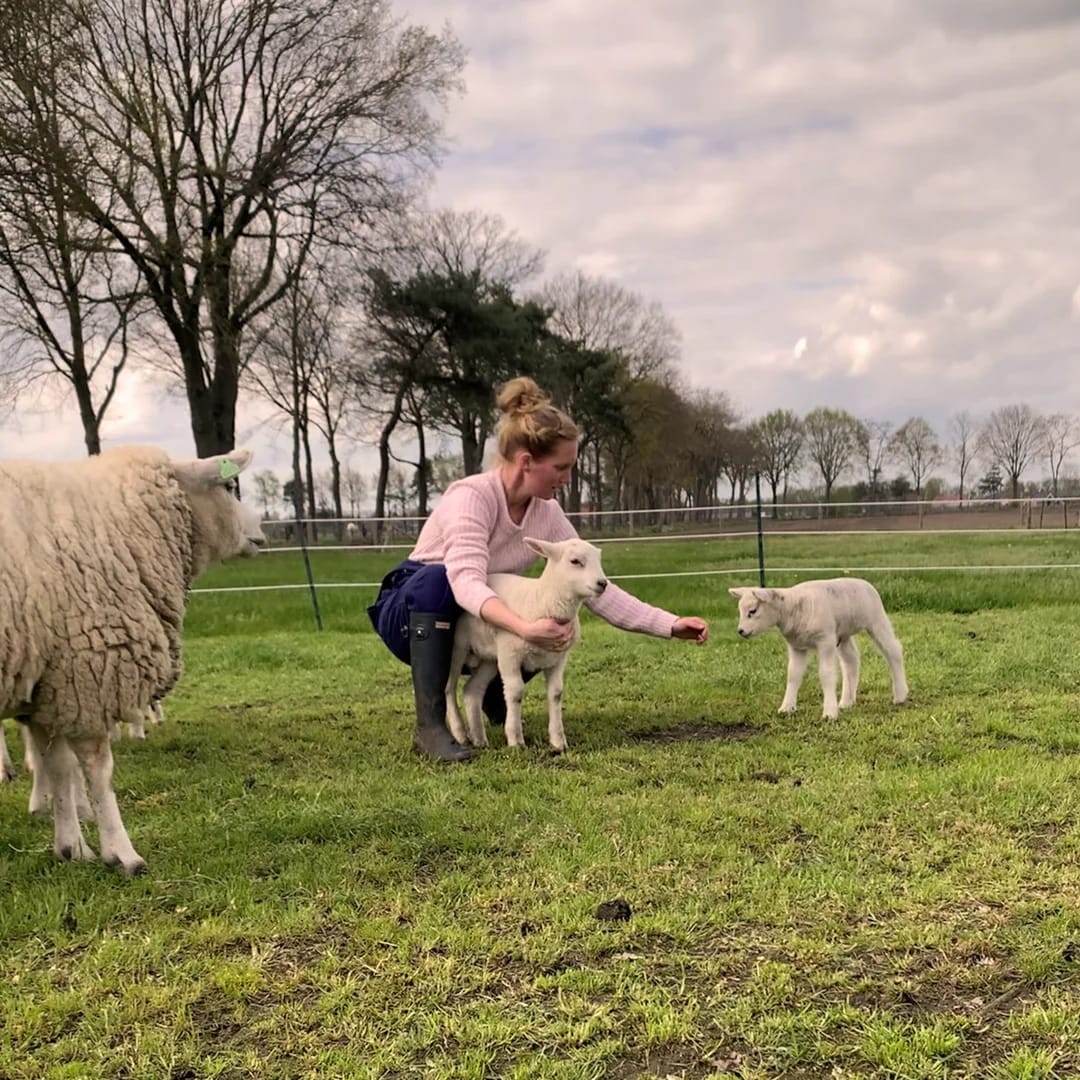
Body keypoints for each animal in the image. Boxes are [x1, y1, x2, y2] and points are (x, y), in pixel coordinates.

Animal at [0, 442, 265, 872]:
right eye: (228, 487)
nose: (261, 531)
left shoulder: (52, 680)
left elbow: (58, 766)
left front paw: (71, 847)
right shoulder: (87, 672)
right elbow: (98, 770)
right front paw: (121, 854)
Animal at [440, 533, 609, 751]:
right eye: (575, 561)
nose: (602, 583)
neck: (542, 600)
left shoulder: (558, 658)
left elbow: (556, 693)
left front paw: (558, 742)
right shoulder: (510, 654)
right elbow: (515, 692)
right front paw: (516, 740)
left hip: (491, 657)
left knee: (471, 691)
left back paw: (479, 738)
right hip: (458, 646)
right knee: (448, 688)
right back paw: (460, 734)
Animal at [730, 578, 907, 721]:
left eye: (752, 611)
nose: (740, 631)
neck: (791, 608)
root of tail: (864, 583)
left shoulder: (825, 641)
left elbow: (826, 674)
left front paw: (829, 713)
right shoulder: (797, 646)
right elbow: (793, 675)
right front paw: (787, 708)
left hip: (877, 620)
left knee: (893, 651)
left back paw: (900, 695)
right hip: (843, 633)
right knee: (851, 661)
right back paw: (846, 701)